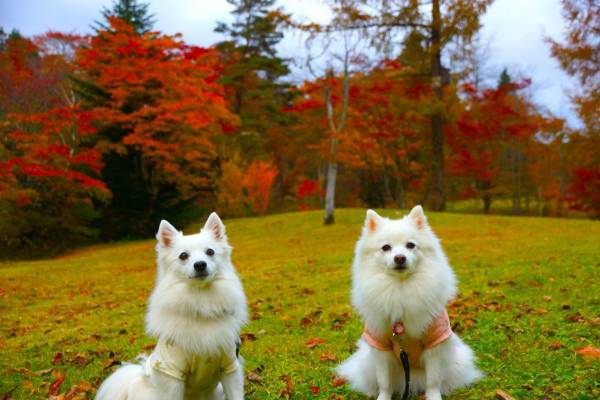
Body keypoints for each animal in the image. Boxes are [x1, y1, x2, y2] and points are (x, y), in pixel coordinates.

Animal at [97, 214, 247, 400]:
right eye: (183, 256)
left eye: (210, 252)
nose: (200, 264)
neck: (201, 300)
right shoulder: (172, 373)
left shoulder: (230, 366)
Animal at [338, 206, 482, 400]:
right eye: (386, 247)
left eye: (410, 245)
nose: (399, 257)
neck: (400, 289)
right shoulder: (380, 345)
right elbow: (384, 382)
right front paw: (383, 397)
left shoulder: (435, 342)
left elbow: (433, 380)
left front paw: (434, 396)